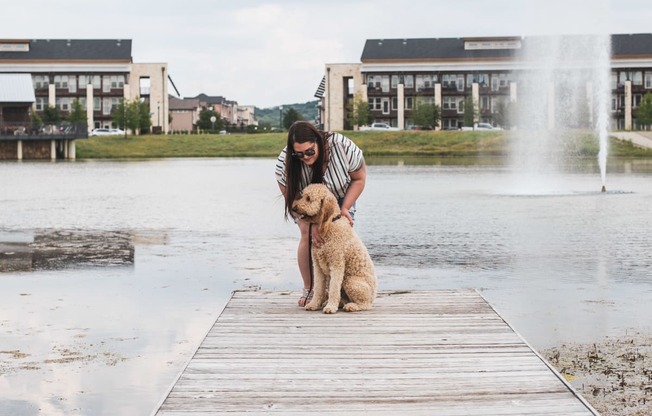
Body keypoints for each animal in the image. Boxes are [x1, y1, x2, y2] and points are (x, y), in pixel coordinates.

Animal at [292, 184, 376, 314]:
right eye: (303, 196)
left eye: (309, 198)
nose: (293, 208)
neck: (330, 223)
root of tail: (374, 294)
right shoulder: (318, 266)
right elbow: (318, 288)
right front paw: (314, 304)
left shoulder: (337, 265)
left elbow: (333, 289)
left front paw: (330, 307)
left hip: (351, 282)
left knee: (365, 304)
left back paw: (352, 306)